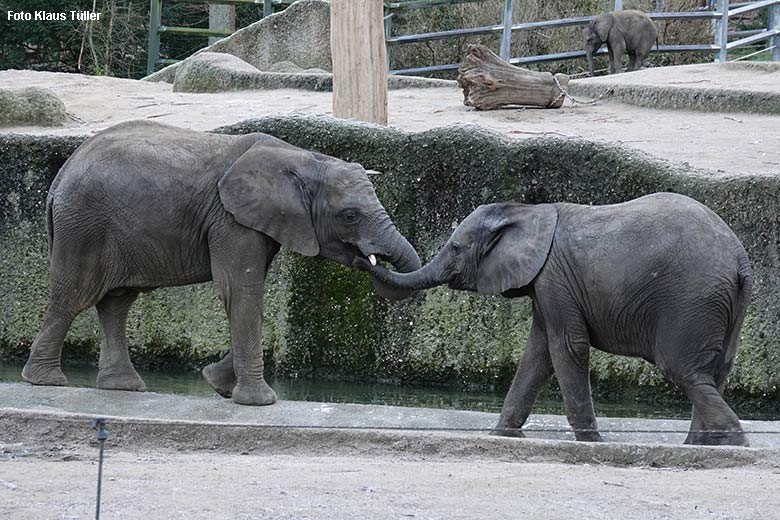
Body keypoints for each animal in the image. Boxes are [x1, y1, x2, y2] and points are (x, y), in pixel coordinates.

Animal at [21, 121, 420, 406]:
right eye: (350, 216)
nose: (372, 261)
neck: (305, 159)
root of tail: (59, 177)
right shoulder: (230, 219)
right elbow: (241, 290)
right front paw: (259, 402)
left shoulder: (257, 222)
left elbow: (245, 291)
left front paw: (215, 383)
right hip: (83, 226)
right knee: (74, 296)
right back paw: (45, 380)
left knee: (117, 302)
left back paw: (123, 387)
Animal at [362, 193, 752, 444]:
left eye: (456, 248)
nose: (368, 256)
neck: (528, 211)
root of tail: (740, 260)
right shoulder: (545, 283)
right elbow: (537, 354)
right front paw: (500, 435)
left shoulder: (554, 277)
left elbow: (566, 346)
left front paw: (593, 443)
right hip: (721, 304)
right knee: (717, 370)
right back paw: (704, 445)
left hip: (691, 299)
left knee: (682, 370)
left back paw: (732, 441)